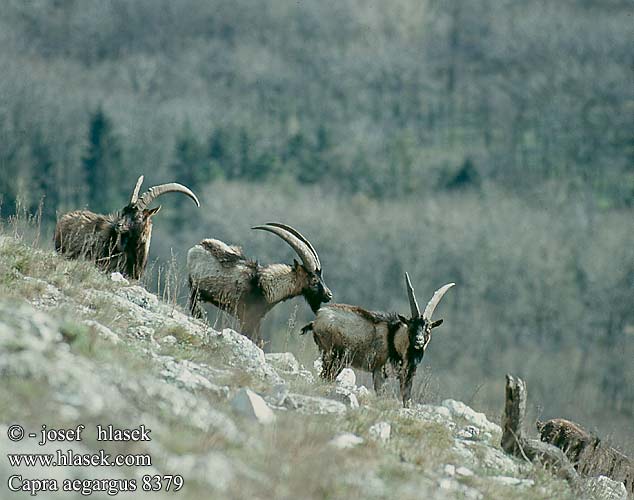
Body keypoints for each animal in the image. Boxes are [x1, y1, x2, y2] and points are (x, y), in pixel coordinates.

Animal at [186, 222, 330, 344]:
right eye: (314, 280)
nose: (329, 295)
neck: (265, 286)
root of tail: (199, 245)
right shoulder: (247, 317)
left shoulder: (256, 319)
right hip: (195, 292)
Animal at [300, 274, 452, 406]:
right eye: (411, 326)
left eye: (428, 328)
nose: (418, 341)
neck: (395, 338)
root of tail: (317, 320)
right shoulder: (380, 370)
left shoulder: (406, 374)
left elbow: (406, 398)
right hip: (334, 357)